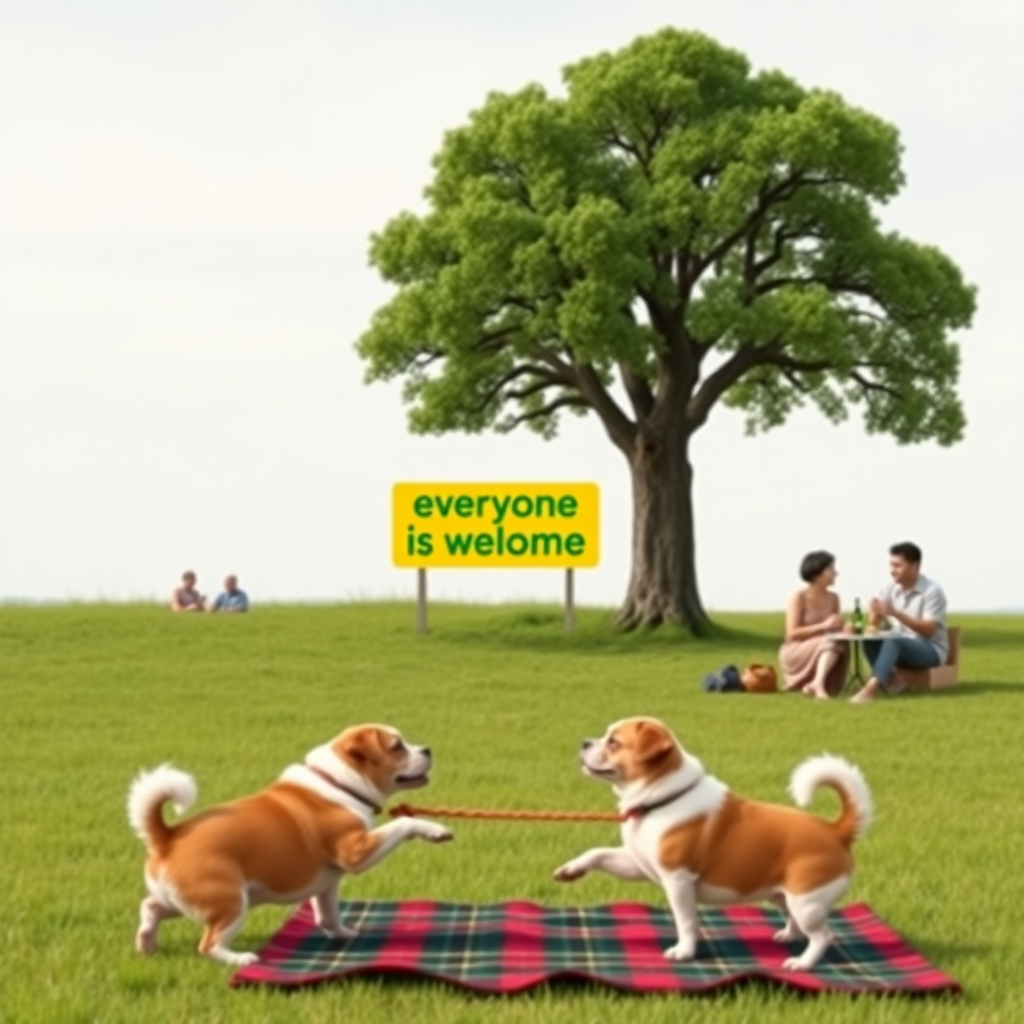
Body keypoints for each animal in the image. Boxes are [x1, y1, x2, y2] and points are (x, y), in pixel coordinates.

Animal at [124, 724, 452, 962]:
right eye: (397, 746)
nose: (427, 749)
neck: (338, 783)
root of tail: (166, 836)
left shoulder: (327, 884)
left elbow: (329, 915)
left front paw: (342, 933)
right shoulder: (357, 852)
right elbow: (404, 823)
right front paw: (435, 829)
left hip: (182, 901)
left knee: (150, 907)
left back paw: (146, 943)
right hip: (230, 902)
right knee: (209, 944)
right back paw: (241, 958)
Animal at [552, 720, 872, 966]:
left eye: (614, 742)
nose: (584, 742)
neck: (662, 799)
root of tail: (836, 831)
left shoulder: (678, 880)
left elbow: (685, 921)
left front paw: (683, 952)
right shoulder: (637, 864)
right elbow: (597, 853)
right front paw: (570, 870)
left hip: (807, 902)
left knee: (823, 936)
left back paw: (802, 963)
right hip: (784, 896)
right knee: (797, 923)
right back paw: (788, 936)